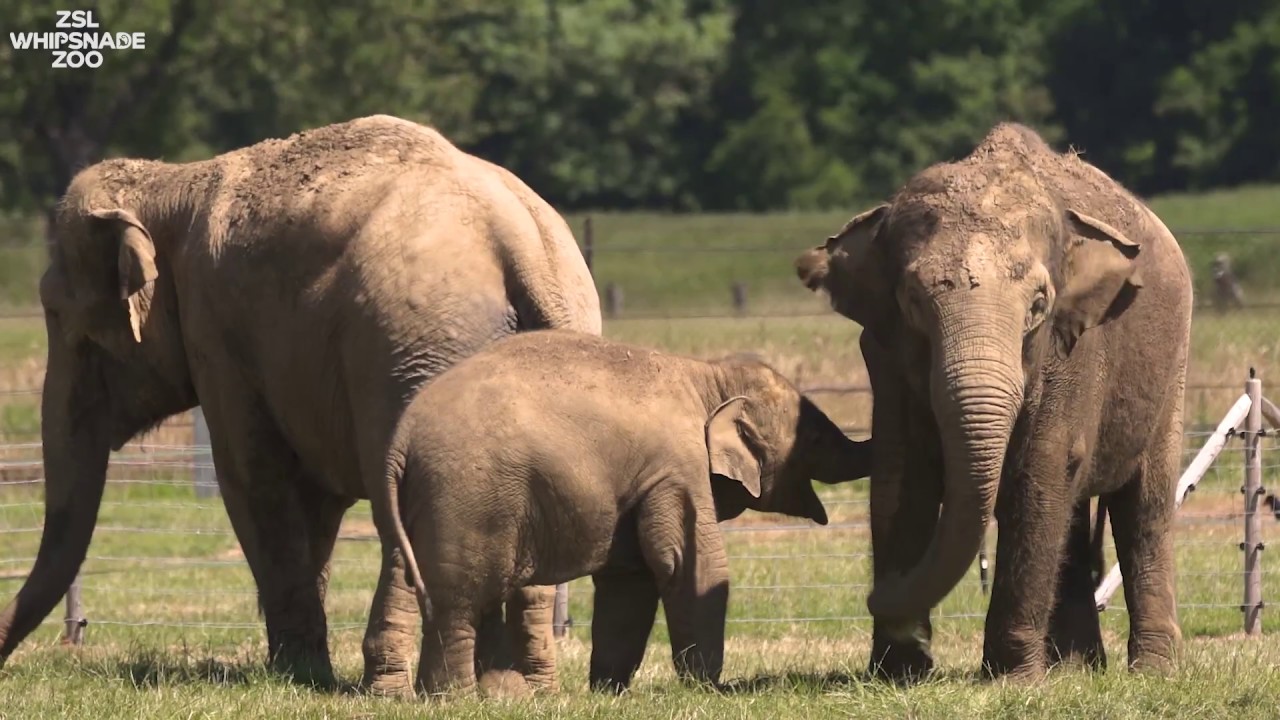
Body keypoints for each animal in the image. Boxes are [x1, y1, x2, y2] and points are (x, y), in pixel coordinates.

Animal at [0, 115, 602, 695]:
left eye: (58, 316)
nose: (10, 668)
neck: (174, 183)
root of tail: (521, 241)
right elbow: (316, 500)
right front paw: (303, 669)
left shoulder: (216, 333)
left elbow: (251, 479)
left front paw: (298, 674)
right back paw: (520, 688)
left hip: (416, 352)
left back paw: (392, 687)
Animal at [378, 329, 872, 696]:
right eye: (814, 440)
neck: (708, 374)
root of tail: (400, 440)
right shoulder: (677, 466)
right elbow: (689, 563)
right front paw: (710, 689)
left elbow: (630, 580)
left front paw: (608, 692)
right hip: (468, 499)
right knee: (460, 599)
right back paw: (453, 698)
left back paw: (486, 696)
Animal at [794, 123, 1192, 680]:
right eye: (912, 301)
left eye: (1039, 304)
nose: (876, 594)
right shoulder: (885, 356)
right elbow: (900, 475)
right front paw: (900, 671)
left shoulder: (1071, 349)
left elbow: (1041, 469)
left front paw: (1012, 679)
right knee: (1073, 512)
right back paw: (1074, 668)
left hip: (1172, 366)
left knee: (1144, 506)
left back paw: (1150, 671)